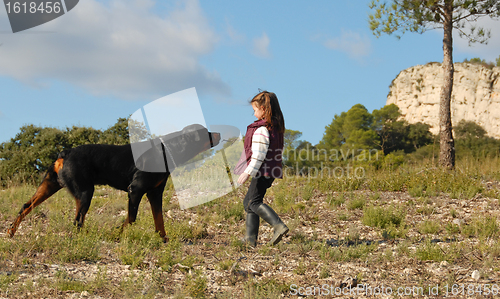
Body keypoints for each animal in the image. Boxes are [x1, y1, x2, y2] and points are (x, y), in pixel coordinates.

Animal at [7, 124, 219, 244]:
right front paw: (115, 235)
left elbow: (159, 220)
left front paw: (164, 239)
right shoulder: (135, 190)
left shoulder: (155, 193)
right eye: (205, 132)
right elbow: (131, 219)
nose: (218, 132)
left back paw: (11, 231)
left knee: (25, 207)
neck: (167, 150)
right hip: (85, 193)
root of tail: (66, 152)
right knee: (77, 221)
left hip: (49, 186)